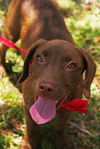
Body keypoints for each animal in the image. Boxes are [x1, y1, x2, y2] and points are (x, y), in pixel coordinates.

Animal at [0, 0, 95, 149]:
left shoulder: (67, 111)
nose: (46, 87)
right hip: (10, 31)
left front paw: (61, 143)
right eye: (39, 58)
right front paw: (29, 144)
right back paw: (2, 68)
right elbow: (32, 128)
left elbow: (60, 128)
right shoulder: (28, 105)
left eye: (71, 66)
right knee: (3, 47)